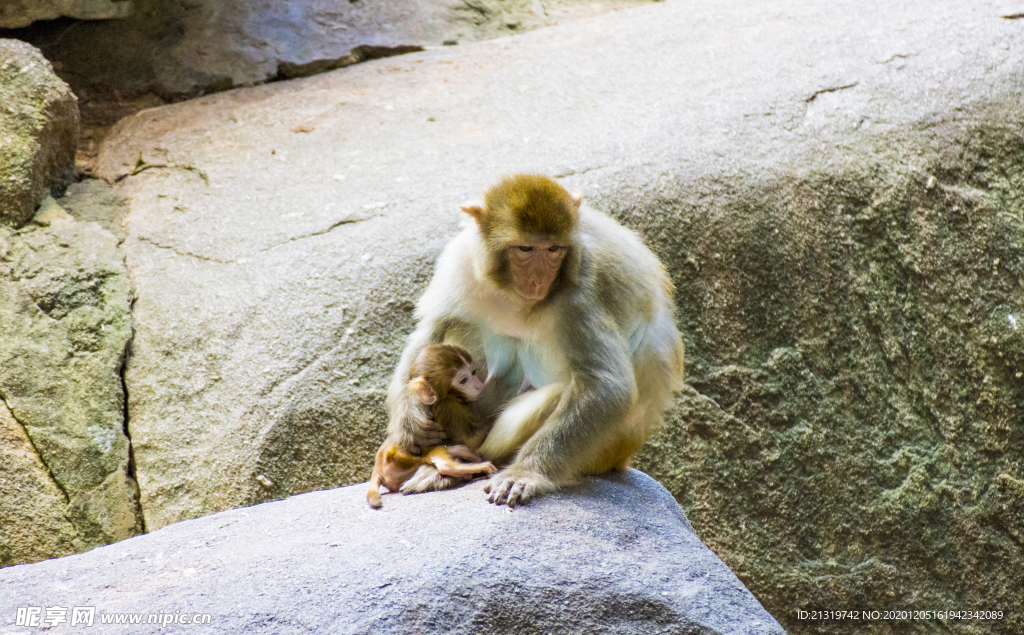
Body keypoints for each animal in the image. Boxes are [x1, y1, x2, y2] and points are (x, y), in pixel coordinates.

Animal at [368, 344, 495, 508]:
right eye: (463, 380)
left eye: (473, 372)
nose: (479, 386)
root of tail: (377, 467)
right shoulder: (448, 406)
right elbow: (473, 439)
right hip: (399, 458)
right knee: (440, 460)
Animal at [382, 172, 679, 505]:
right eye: (525, 249)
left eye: (554, 249)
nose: (538, 280)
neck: (512, 292)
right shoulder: (460, 261)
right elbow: (430, 331)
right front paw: (408, 420)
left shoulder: (581, 292)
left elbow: (607, 386)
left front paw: (524, 473)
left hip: (603, 453)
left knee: (560, 393)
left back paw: (469, 460)